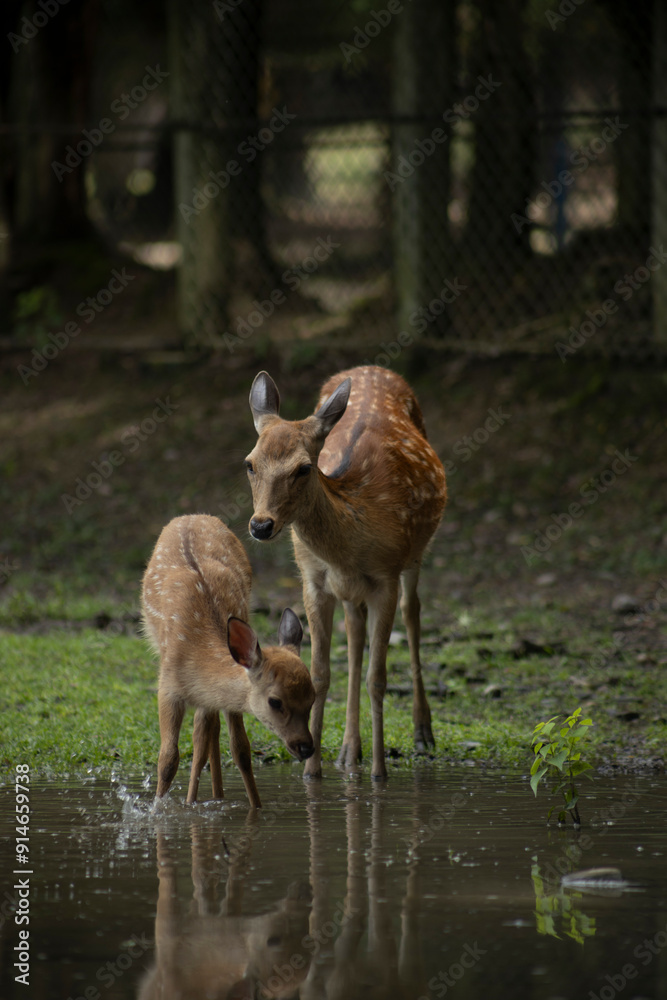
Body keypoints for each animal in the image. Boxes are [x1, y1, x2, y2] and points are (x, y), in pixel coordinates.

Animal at [141, 514, 315, 808]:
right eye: (275, 701)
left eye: (313, 698)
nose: (306, 747)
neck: (197, 650)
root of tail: (190, 516)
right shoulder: (167, 687)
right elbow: (167, 759)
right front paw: (159, 808)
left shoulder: (220, 695)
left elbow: (241, 750)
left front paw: (256, 807)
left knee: (208, 733)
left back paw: (214, 796)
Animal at [245, 365, 447, 780]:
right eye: (249, 463)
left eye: (304, 468)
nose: (261, 525)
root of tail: (372, 367)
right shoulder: (313, 580)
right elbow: (322, 673)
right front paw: (312, 771)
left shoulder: (386, 576)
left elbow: (378, 677)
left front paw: (380, 774)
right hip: (352, 592)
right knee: (354, 634)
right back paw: (348, 751)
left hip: (415, 554)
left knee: (413, 613)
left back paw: (422, 731)